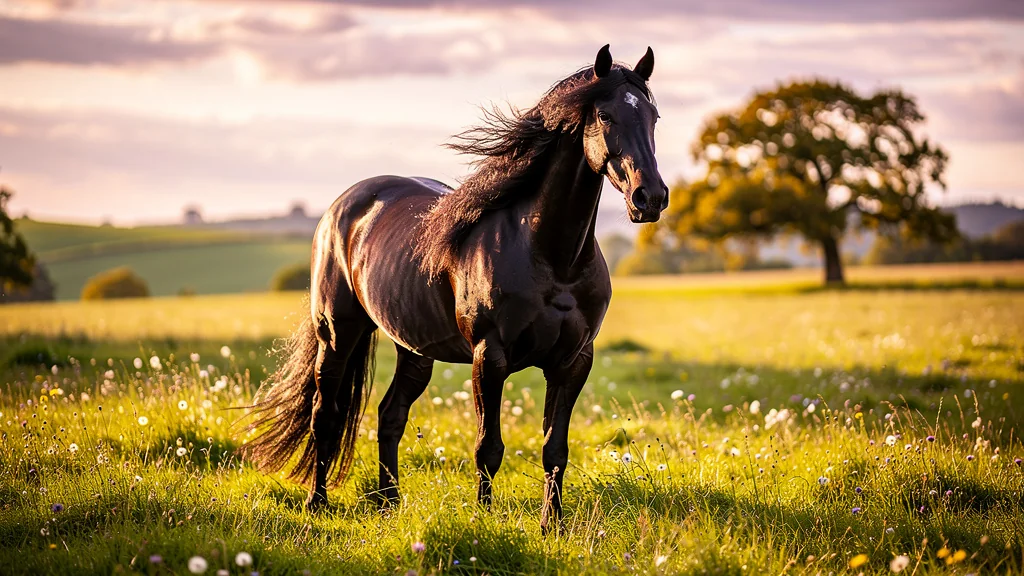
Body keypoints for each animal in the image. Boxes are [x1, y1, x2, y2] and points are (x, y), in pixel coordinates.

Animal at [246, 44, 667, 532]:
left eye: (653, 116)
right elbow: (489, 448)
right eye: (604, 115)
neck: (552, 257)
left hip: (414, 348)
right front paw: (485, 519)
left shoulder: (573, 362)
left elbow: (554, 449)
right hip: (337, 336)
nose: (650, 198)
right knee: (325, 418)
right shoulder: (490, 356)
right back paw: (318, 502)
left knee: (390, 416)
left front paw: (553, 526)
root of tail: (342, 207)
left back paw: (389, 503)